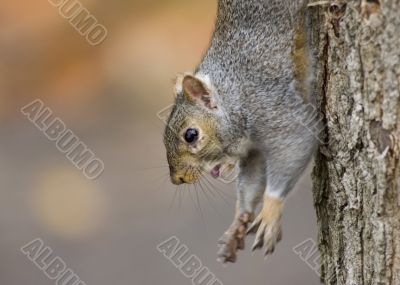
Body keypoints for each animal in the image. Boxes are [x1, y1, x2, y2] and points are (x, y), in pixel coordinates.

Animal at [161, 0, 320, 262]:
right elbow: (252, 180)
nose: (177, 179)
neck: (234, 97)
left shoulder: (273, 108)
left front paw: (270, 211)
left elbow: (296, 143)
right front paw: (238, 223)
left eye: (191, 135)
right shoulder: (254, 152)